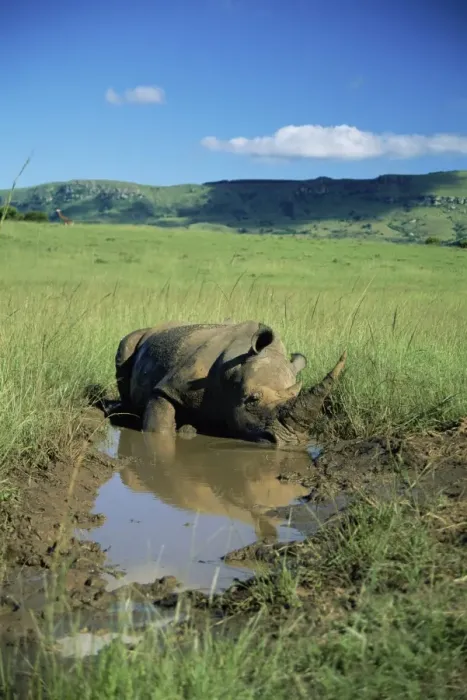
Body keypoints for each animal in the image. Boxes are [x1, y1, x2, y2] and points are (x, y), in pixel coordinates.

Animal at [114, 320, 346, 450]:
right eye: (253, 400)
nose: (290, 441)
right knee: (126, 345)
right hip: (137, 338)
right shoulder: (173, 386)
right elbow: (159, 425)